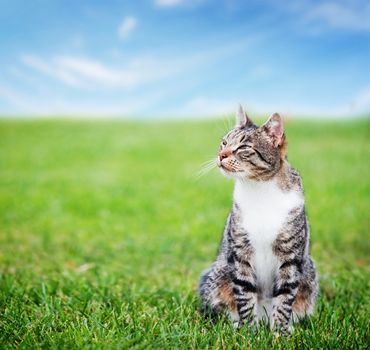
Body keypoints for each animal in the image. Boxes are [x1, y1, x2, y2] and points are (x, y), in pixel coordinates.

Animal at [199, 106, 318, 334]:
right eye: (224, 142)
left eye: (244, 147)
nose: (220, 155)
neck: (258, 188)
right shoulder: (240, 252)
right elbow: (244, 294)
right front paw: (248, 331)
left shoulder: (290, 256)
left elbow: (285, 298)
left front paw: (279, 333)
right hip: (218, 276)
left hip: (309, 280)